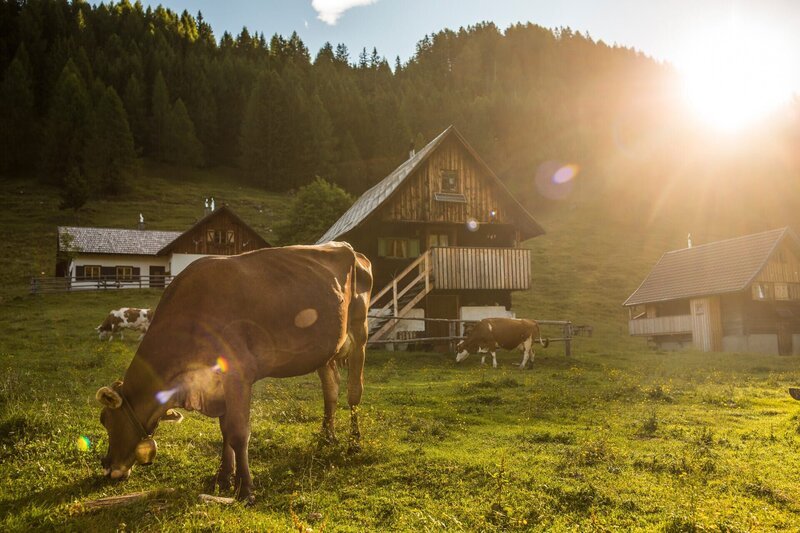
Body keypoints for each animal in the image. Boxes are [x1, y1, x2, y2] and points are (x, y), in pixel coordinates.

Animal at [95, 242, 372, 504]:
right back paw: (326, 437)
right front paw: (223, 477)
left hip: (360, 333)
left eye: (105, 420)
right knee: (331, 390)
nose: (107, 466)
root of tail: (352, 250)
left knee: (354, 393)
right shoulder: (215, 384)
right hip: (326, 350)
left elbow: (238, 433)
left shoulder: (238, 375)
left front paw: (246, 488)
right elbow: (225, 431)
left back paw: (354, 442)